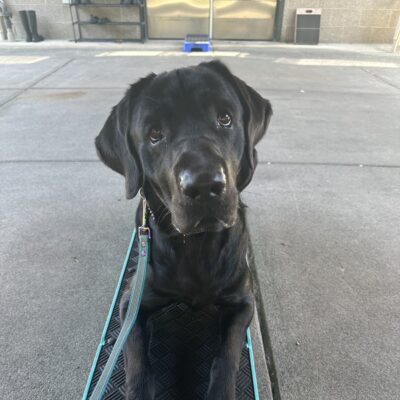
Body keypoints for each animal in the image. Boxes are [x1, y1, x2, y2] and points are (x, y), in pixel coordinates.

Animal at [95, 60, 274, 400]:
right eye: (154, 134)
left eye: (225, 117)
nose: (204, 186)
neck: (197, 246)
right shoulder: (133, 301)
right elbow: (136, 359)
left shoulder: (243, 301)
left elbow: (228, 354)